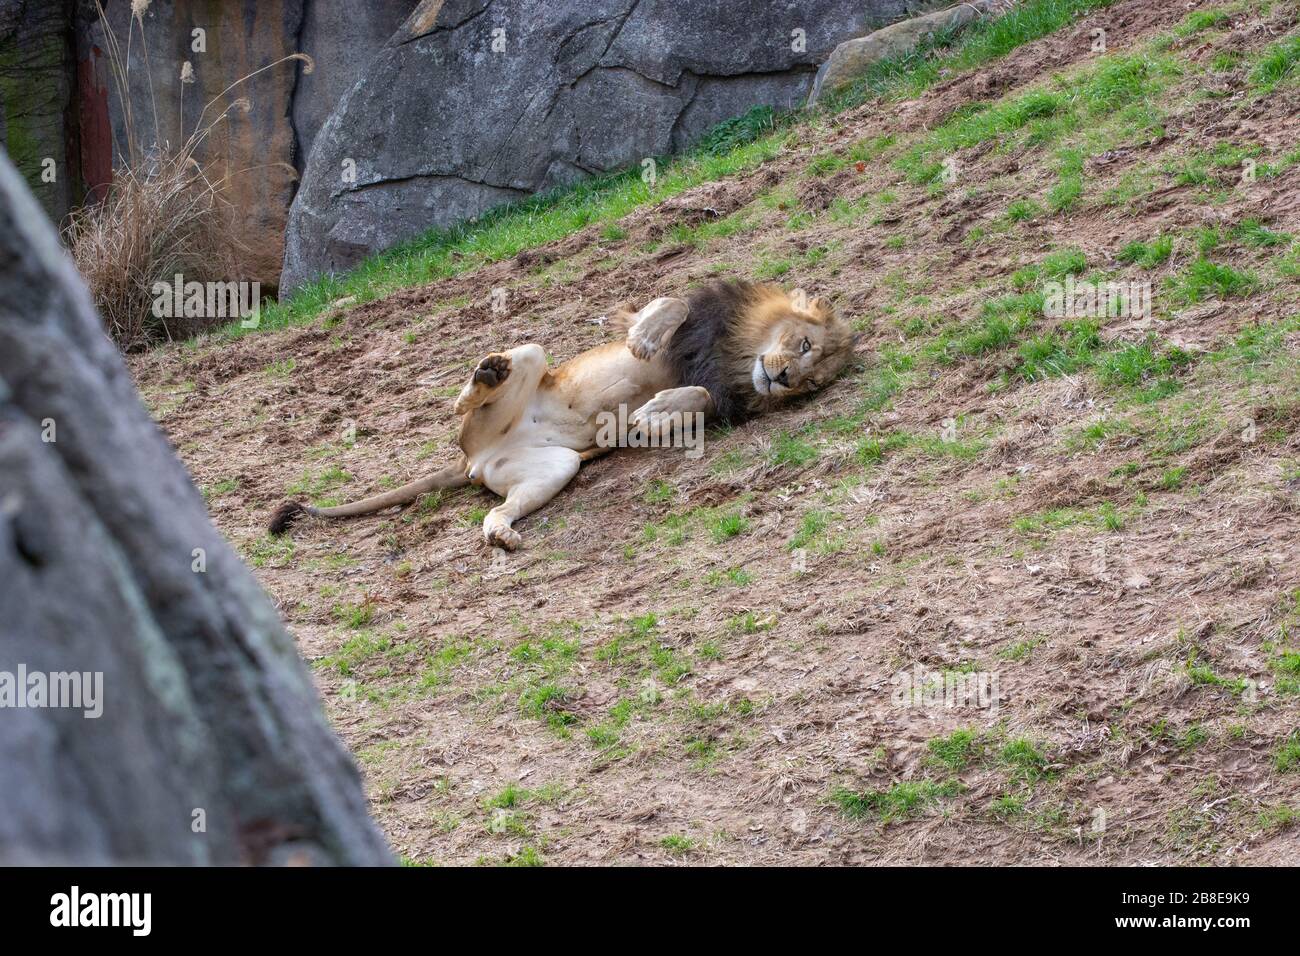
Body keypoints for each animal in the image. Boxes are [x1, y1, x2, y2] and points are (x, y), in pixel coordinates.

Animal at [266, 280, 852, 548]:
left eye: (813, 382)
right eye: (803, 345)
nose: (785, 379)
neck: (735, 358)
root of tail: (474, 459)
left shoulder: (722, 401)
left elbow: (700, 399)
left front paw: (657, 411)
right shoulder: (689, 321)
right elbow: (670, 305)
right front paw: (645, 342)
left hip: (555, 467)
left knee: (496, 511)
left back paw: (502, 533)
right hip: (534, 355)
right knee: (490, 380)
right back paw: (486, 374)